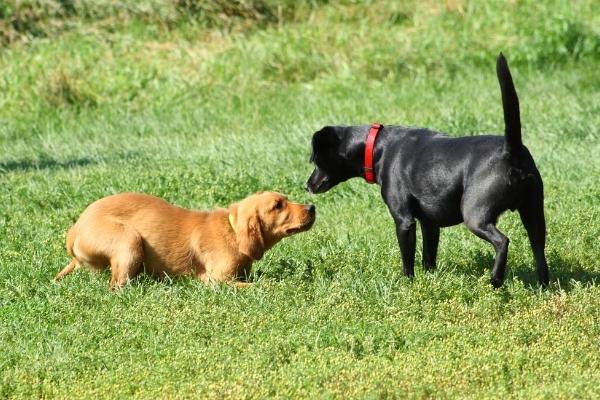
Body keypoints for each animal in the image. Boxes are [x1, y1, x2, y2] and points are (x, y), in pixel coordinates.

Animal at [55, 192, 316, 290]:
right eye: (278, 205)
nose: (312, 207)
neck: (231, 230)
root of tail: (74, 230)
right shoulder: (216, 280)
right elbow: (259, 285)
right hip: (129, 241)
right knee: (117, 285)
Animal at [310, 54, 548, 288]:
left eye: (315, 159)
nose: (307, 184)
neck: (376, 146)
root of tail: (511, 149)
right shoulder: (430, 223)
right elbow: (428, 256)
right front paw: (430, 279)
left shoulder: (404, 221)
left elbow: (408, 259)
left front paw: (407, 283)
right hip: (533, 213)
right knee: (538, 248)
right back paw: (543, 284)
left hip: (475, 214)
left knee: (502, 241)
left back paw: (496, 279)